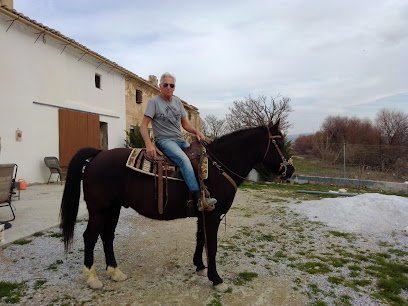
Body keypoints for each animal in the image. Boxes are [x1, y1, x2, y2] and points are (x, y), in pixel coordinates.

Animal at [59, 120, 294, 290]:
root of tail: (98, 154)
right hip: (98, 210)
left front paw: (199, 266)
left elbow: (201, 239)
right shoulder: (213, 215)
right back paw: (92, 278)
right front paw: (216, 279)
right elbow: (212, 245)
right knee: (90, 237)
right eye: (279, 143)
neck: (217, 167)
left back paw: (115, 272)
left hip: (113, 209)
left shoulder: (203, 213)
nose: (290, 170)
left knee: (107, 236)